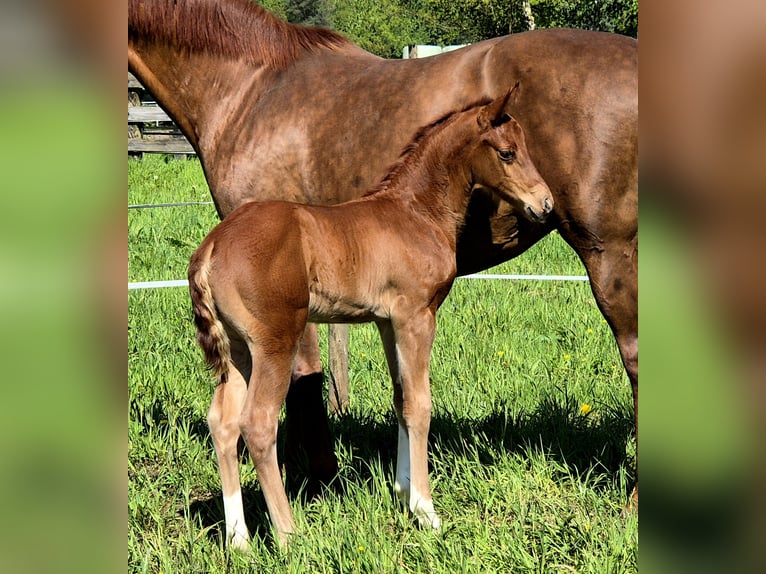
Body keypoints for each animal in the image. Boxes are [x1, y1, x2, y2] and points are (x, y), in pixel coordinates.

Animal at [189, 91, 556, 552]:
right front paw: (427, 512)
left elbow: (400, 398)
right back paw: (290, 535)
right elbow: (419, 404)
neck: (415, 212)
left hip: (239, 350)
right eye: (507, 152)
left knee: (222, 423)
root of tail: (212, 245)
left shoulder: (387, 322)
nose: (546, 204)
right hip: (275, 343)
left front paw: (403, 493)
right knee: (257, 423)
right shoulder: (417, 317)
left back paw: (239, 540)